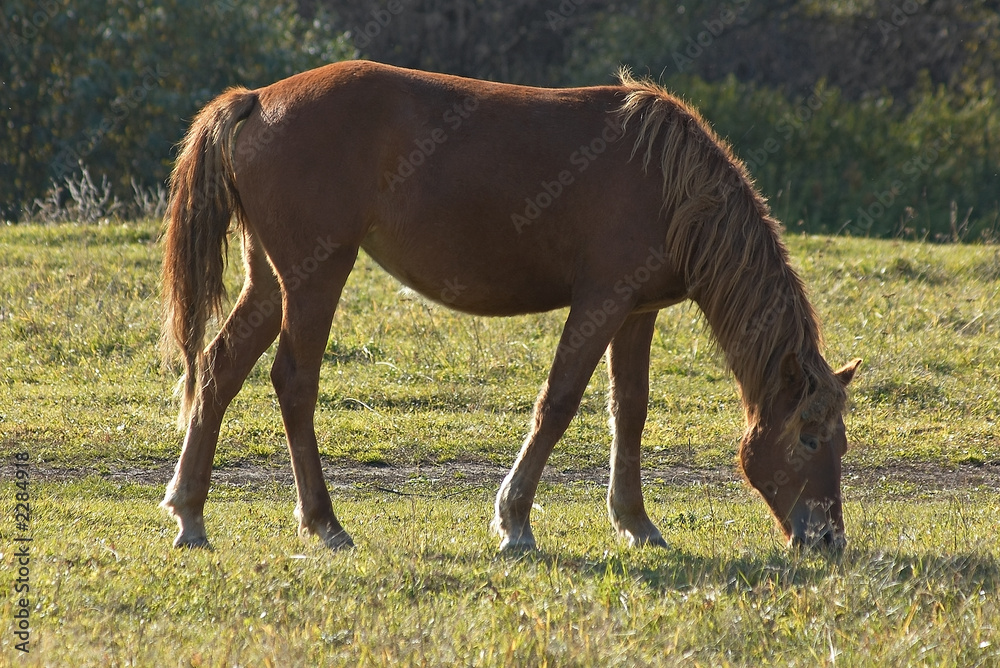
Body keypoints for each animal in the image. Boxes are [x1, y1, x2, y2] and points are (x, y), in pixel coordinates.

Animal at [160, 60, 861, 552]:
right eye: (807, 435)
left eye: (841, 440)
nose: (827, 539)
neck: (667, 182)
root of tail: (257, 100)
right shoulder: (602, 300)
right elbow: (559, 402)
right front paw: (515, 520)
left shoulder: (638, 312)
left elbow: (629, 411)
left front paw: (635, 523)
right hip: (315, 278)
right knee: (294, 383)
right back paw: (323, 522)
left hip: (270, 283)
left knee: (218, 370)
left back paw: (190, 512)